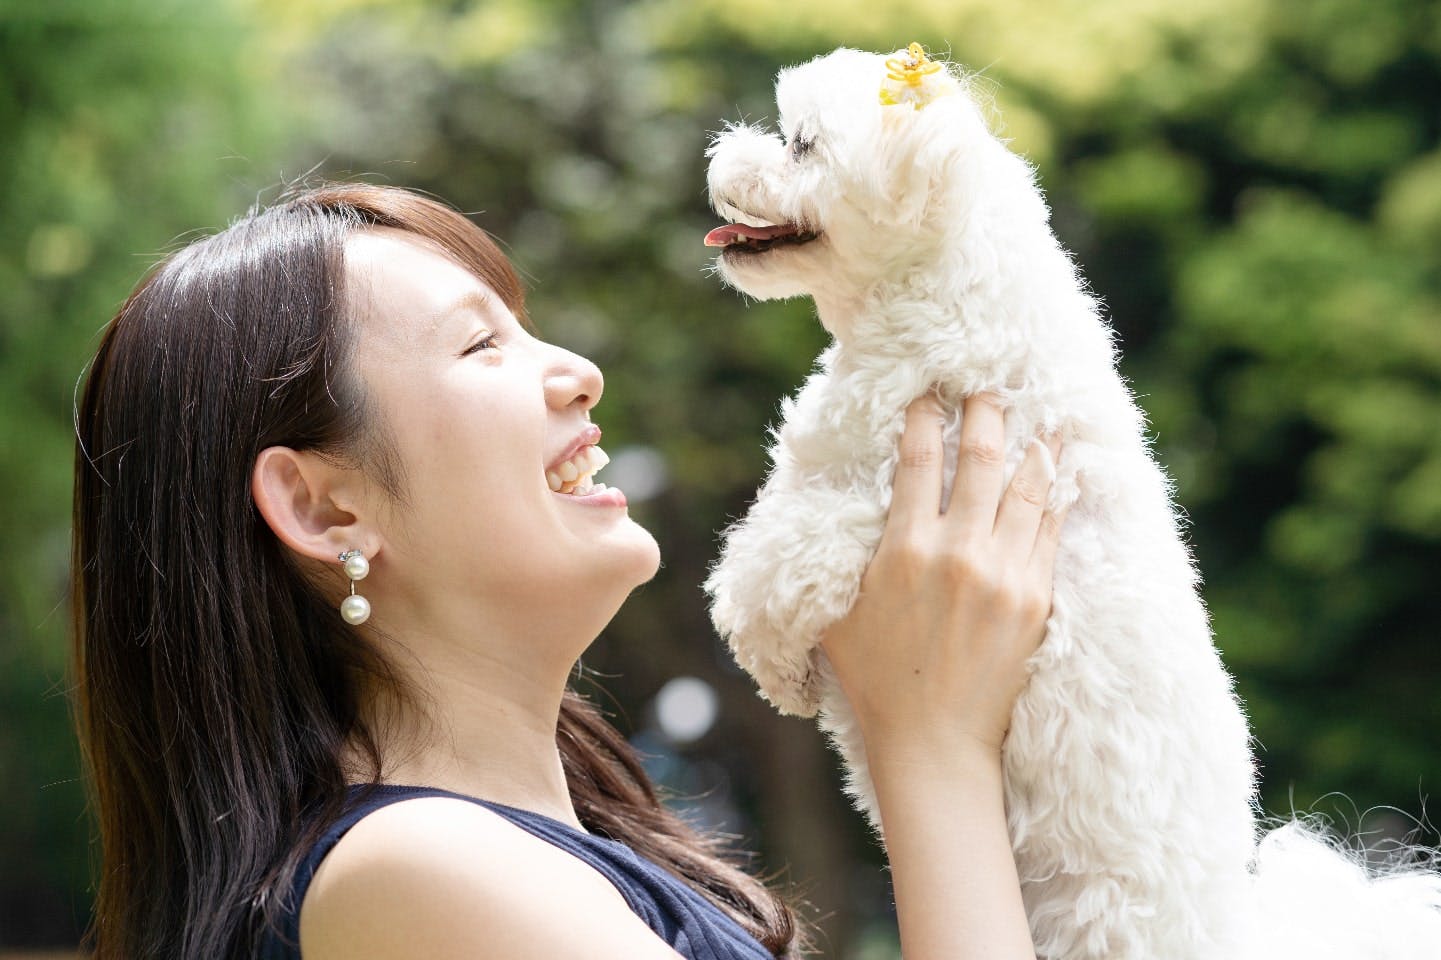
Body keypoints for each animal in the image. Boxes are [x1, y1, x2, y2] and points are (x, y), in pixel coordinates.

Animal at [703, 44, 1441, 957]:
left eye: (801, 145)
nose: (722, 154)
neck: (944, 301)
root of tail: (1229, 929)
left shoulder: (883, 499)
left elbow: (768, 566)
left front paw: (775, 667)